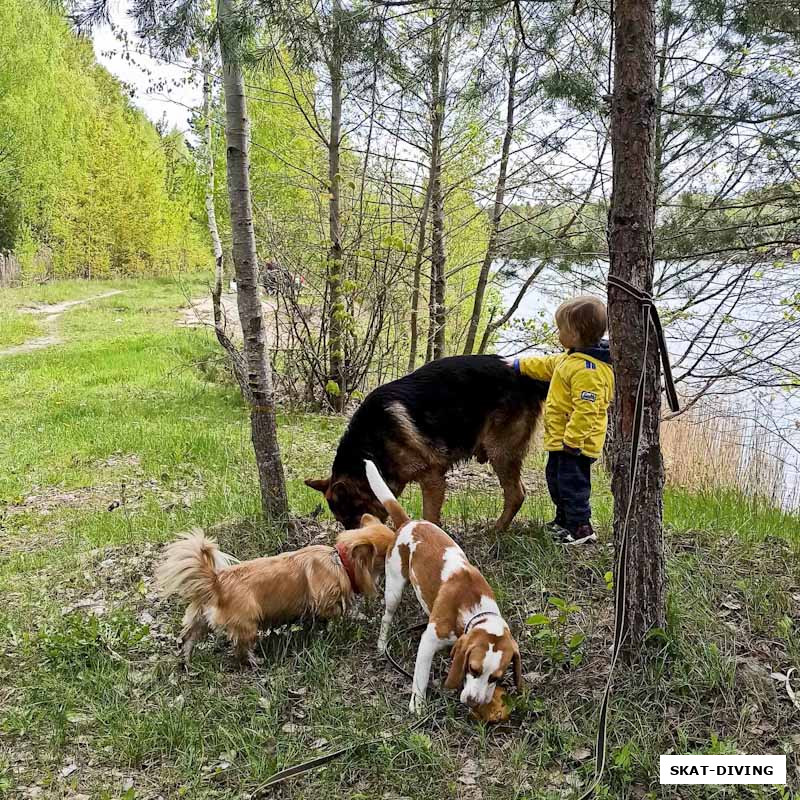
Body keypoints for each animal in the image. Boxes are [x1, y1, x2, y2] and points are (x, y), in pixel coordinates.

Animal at [156, 520, 394, 664]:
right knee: (241, 649)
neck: (340, 561)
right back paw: (254, 661)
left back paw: (186, 662)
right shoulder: (325, 603)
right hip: (248, 625)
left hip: (199, 620)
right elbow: (339, 612)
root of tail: (216, 582)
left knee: (188, 639)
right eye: (388, 551)